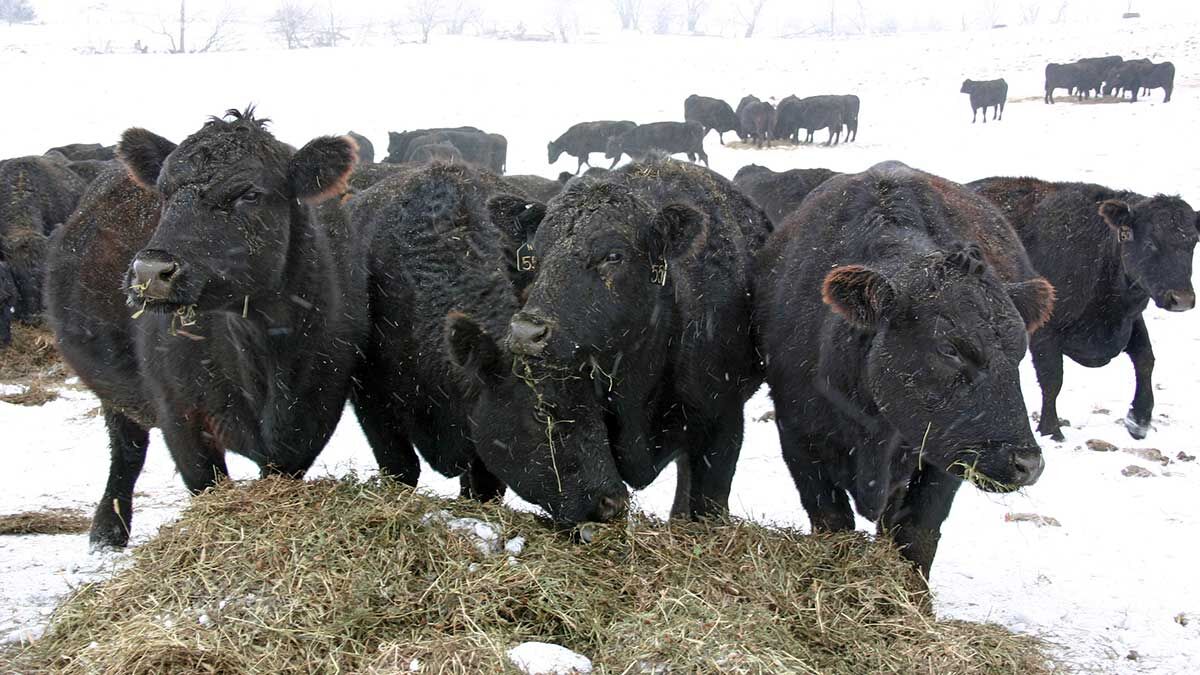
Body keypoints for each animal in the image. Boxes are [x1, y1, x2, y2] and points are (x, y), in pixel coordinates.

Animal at [45, 108, 367, 548]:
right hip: (116, 393)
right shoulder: (182, 420)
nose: (150, 271)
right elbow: (204, 483)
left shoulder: (311, 418)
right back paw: (108, 530)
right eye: (164, 192)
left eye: (249, 194)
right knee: (127, 449)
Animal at [757, 161, 1054, 582]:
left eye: (1020, 350)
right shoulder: (798, 434)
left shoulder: (944, 455)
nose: (1027, 463)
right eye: (949, 348)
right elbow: (832, 521)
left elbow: (918, 534)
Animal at [970, 176, 1197, 441]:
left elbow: (1145, 360)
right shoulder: (1045, 332)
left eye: (1193, 242)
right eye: (1151, 242)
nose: (1182, 299)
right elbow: (1052, 379)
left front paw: (1139, 420)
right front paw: (1051, 430)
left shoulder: (1130, 321)